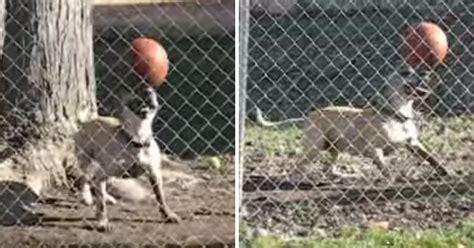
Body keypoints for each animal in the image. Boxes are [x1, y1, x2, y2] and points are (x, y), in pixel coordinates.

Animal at [74, 85, 180, 232]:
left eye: (151, 94)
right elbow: (101, 205)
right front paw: (103, 222)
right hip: (89, 163)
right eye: (135, 93)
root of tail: (85, 122)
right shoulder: (102, 174)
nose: (148, 88)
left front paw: (168, 215)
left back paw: (106, 197)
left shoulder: (154, 174)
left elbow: (161, 197)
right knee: (84, 179)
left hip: (105, 172)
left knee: (97, 184)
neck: (138, 139)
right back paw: (87, 197)